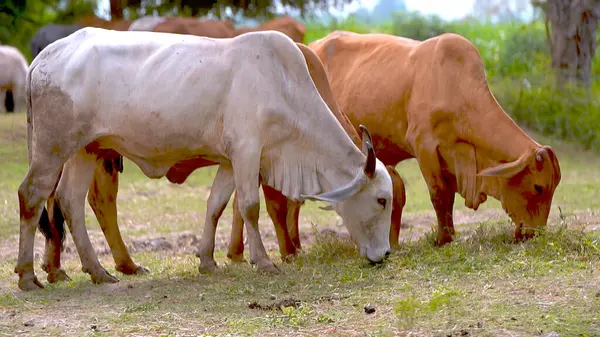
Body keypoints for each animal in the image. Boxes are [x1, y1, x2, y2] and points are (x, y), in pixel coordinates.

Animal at [15, 27, 394, 290]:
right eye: (382, 200)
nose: (386, 254)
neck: (284, 87)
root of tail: (45, 56)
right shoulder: (247, 151)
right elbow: (250, 207)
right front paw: (263, 261)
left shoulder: (229, 160)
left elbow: (216, 205)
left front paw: (207, 260)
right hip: (52, 149)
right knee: (32, 196)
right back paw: (28, 277)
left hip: (85, 150)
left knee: (70, 202)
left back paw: (98, 272)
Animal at [304, 30, 564, 244]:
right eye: (538, 187)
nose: (535, 233)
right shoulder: (425, 148)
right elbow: (440, 194)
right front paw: (443, 238)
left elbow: (446, 197)